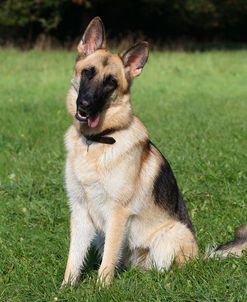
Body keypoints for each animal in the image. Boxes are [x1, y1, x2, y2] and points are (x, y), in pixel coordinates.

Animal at [61, 16, 245, 286]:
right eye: (88, 72)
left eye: (111, 82)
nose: (84, 106)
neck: (96, 142)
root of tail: (201, 256)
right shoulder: (81, 212)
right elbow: (74, 259)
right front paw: (66, 288)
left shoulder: (117, 214)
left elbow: (107, 262)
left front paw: (102, 288)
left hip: (170, 236)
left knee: (166, 271)